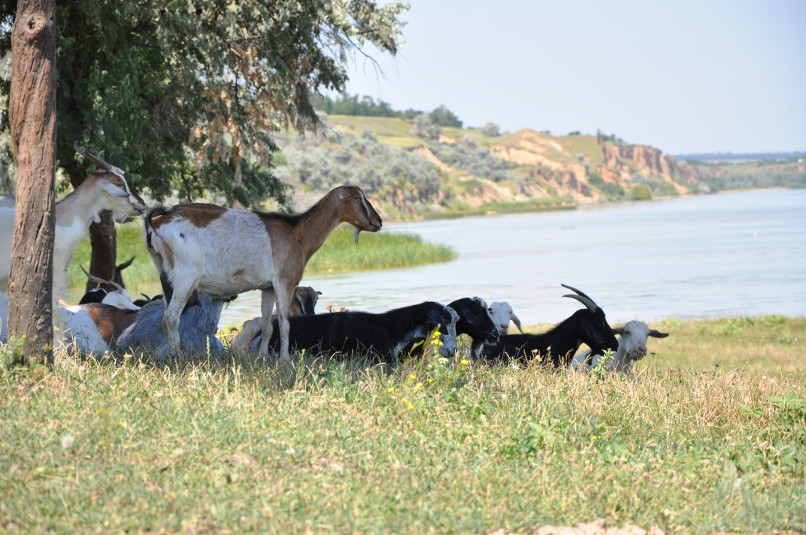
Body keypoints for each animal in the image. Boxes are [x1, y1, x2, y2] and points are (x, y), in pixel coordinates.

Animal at [144, 185, 382, 361]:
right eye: (357, 198)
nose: (378, 221)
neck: (297, 234)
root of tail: (157, 224)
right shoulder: (285, 282)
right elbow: (285, 323)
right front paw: (285, 361)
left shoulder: (267, 288)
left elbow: (268, 326)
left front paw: (262, 357)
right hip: (186, 276)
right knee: (171, 318)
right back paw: (179, 358)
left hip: (165, 277)